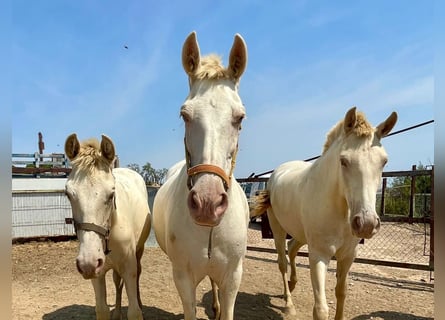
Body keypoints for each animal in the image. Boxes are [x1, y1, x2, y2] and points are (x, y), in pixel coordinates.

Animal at [63, 134, 152, 318]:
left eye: (111, 194)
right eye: (68, 194)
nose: (87, 263)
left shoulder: (129, 268)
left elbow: (134, 311)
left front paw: (138, 308)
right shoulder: (97, 273)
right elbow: (102, 309)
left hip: (139, 251)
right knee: (117, 281)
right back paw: (117, 312)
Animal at [251, 108, 398, 320]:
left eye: (384, 161)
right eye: (343, 161)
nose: (366, 224)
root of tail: (277, 173)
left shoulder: (348, 255)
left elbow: (341, 292)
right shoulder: (319, 255)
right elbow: (320, 309)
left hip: (301, 234)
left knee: (292, 248)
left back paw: (293, 284)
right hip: (277, 229)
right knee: (282, 262)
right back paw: (289, 304)